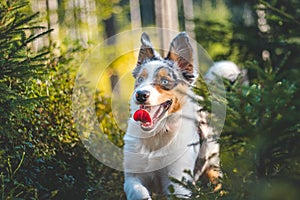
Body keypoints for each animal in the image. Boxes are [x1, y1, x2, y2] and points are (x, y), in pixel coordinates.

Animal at [123, 32, 221, 199]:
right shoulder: (132, 175)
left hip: (213, 164)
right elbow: (138, 191)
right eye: (140, 80)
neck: (158, 134)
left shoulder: (179, 180)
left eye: (164, 81)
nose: (140, 94)